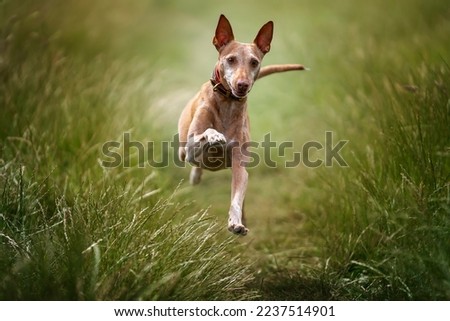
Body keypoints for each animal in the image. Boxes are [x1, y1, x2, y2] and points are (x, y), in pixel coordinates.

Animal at [178, 14, 308, 235]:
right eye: (230, 59)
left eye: (254, 62)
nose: (242, 85)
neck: (228, 103)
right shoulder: (191, 147)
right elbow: (206, 134)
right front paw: (214, 136)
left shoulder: (240, 166)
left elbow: (237, 198)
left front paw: (235, 222)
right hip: (183, 149)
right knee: (191, 162)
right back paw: (196, 175)